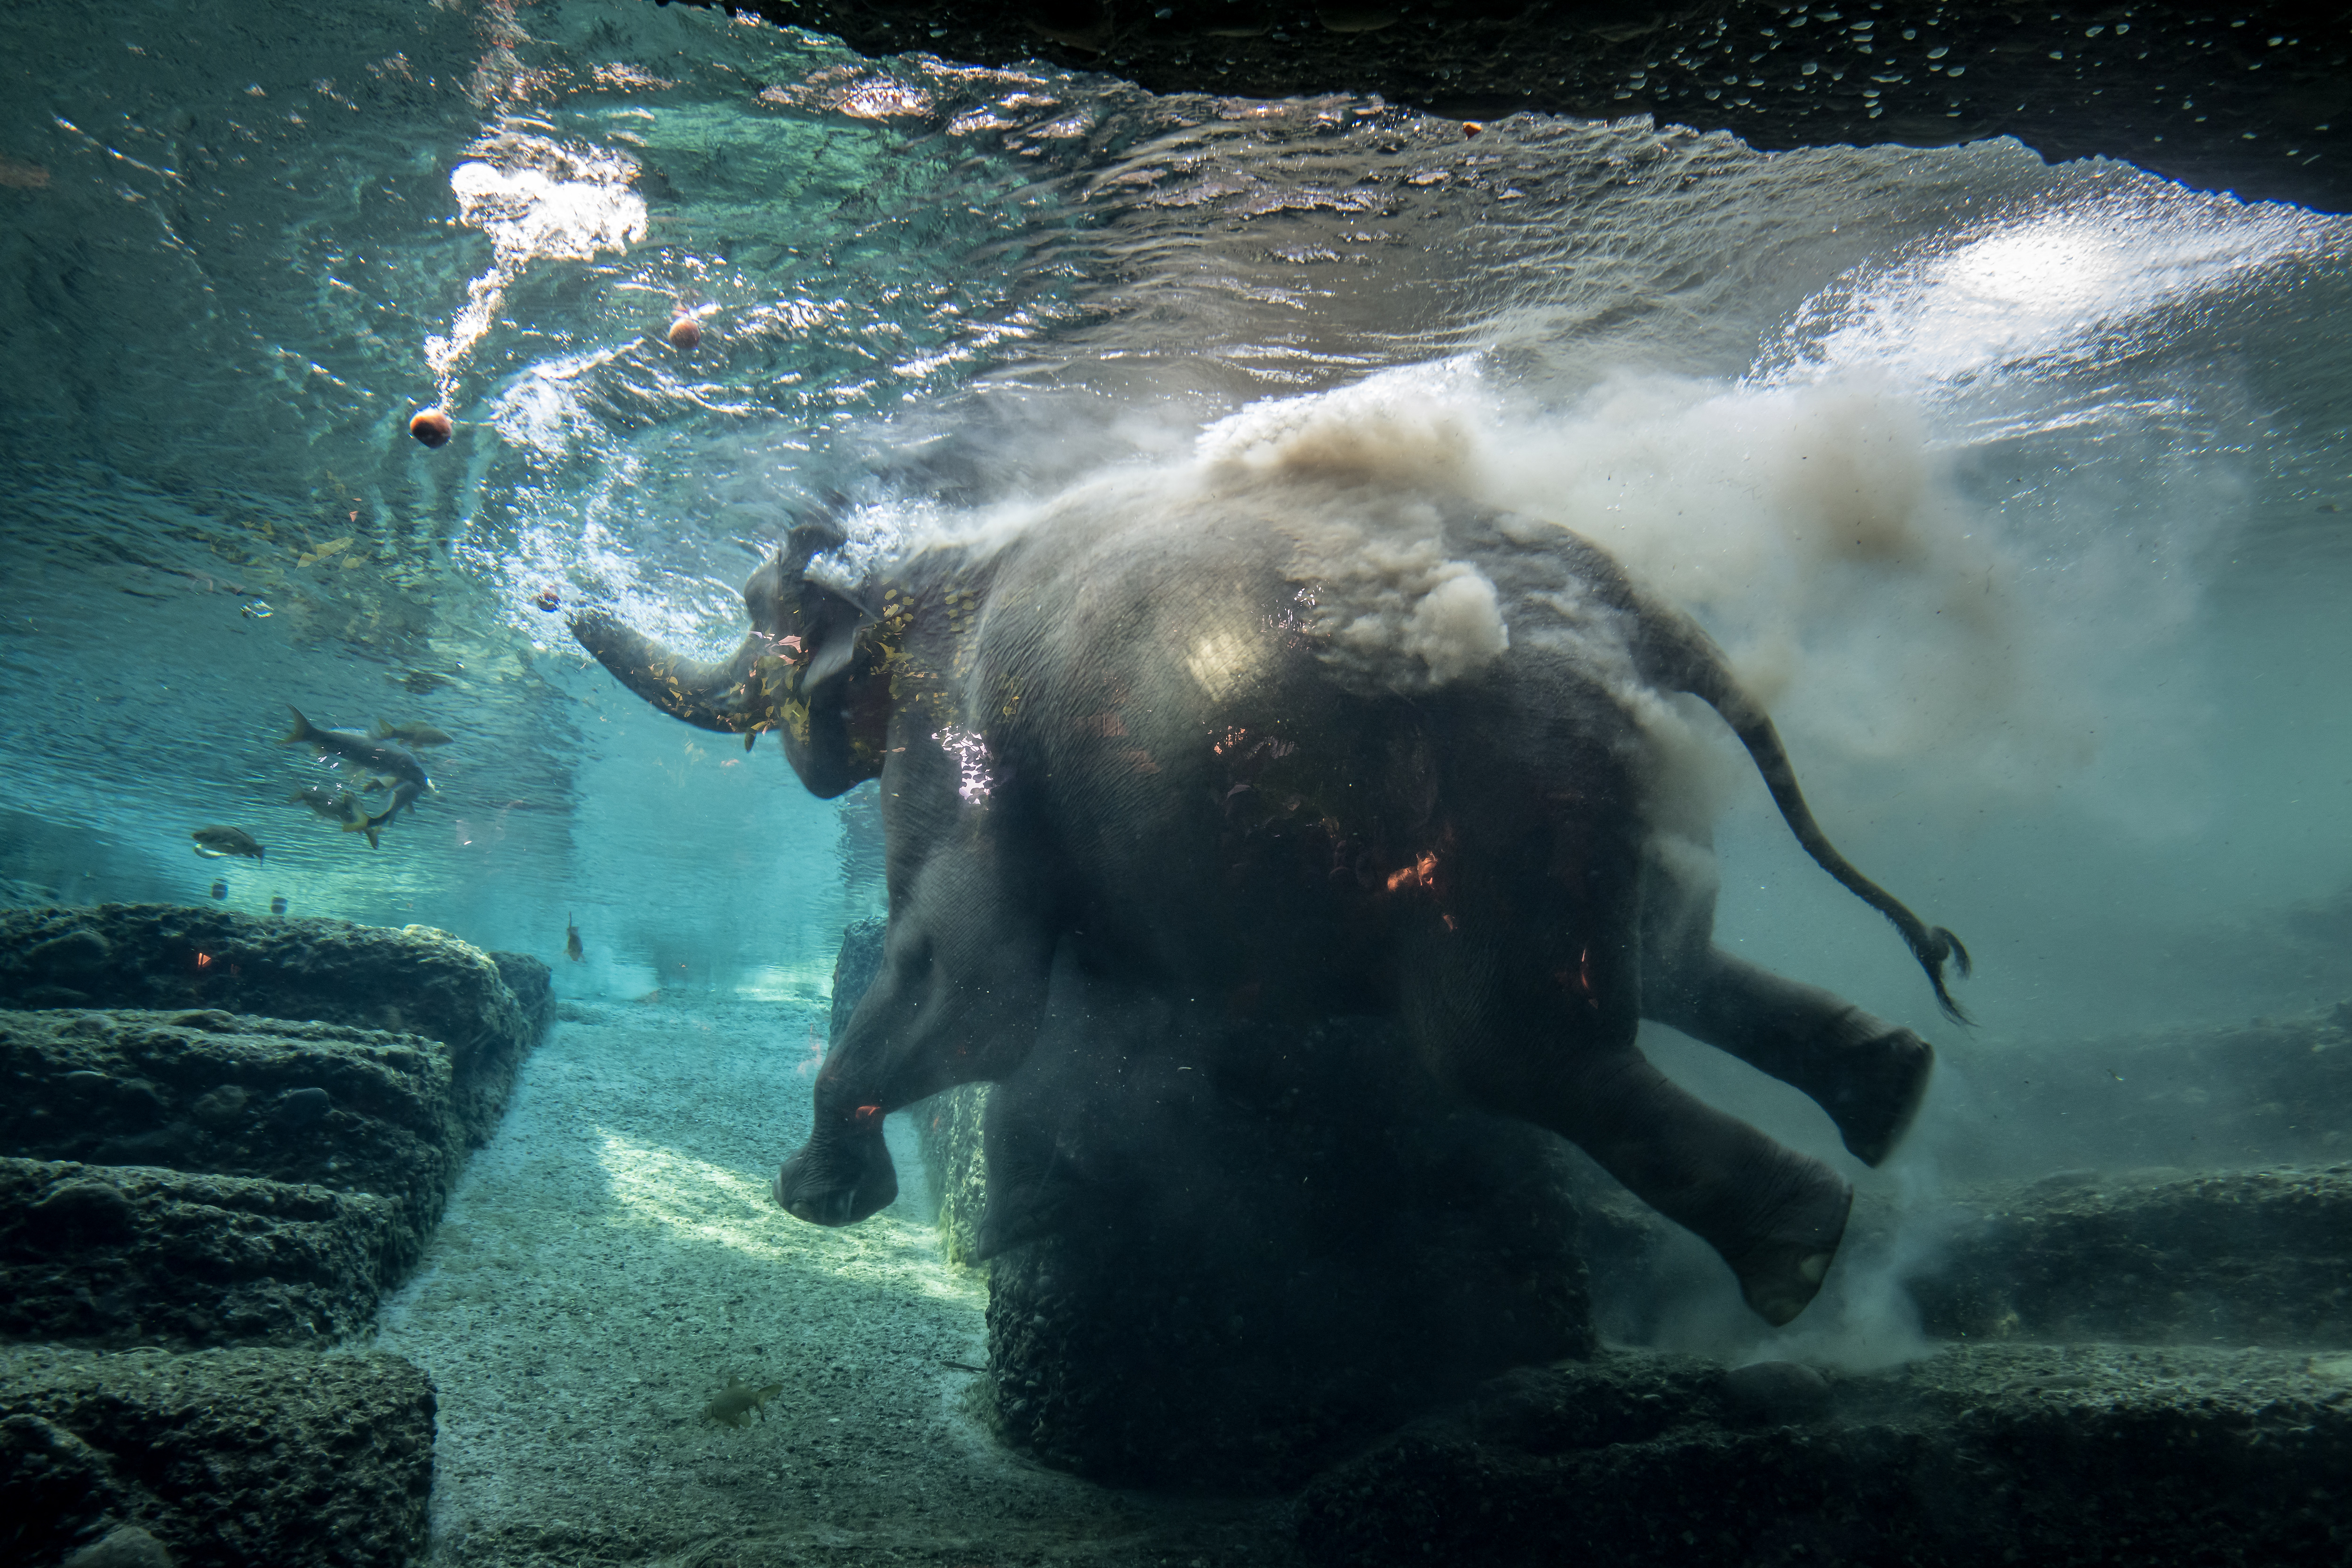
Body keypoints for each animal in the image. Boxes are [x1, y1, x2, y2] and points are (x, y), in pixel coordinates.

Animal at [573, 436, 1965, 1326]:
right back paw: (1893, 1096)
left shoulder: (959, 735)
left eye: (755, 613)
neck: (933, 563)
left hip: (1509, 782)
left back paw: (1802, 1256)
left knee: (1520, 1048)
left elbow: (969, 992)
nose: (568, 602)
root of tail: (1645, 611)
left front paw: (811, 1203)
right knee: (1668, 960)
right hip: (1610, 780)